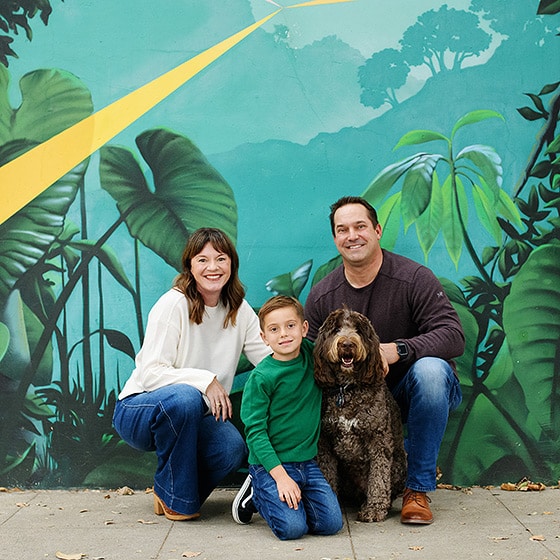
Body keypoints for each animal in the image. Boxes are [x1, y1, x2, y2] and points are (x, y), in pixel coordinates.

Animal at [312, 306, 404, 520]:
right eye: (336, 329)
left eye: (359, 330)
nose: (347, 344)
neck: (346, 389)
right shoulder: (324, 441)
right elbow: (327, 473)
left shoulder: (379, 439)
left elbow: (379, 477)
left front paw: (374, 509)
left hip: (397, 466)